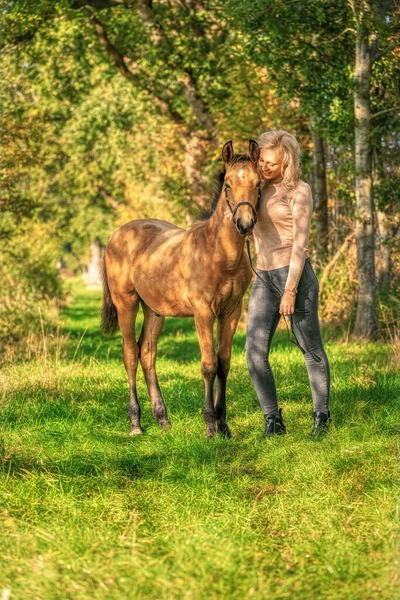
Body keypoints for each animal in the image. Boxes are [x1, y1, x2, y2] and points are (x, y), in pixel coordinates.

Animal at [101, 141, 260, 440]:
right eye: (228, 184)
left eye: (258, 183)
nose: (244, 224)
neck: (220, 254)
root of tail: (116, 235)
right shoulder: (203, 312)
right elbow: (208, 365)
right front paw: (210, 426)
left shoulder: (231, 311)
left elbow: (224, 364)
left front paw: (224, 426)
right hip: (126, 302)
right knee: (130, 354)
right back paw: (136, 423)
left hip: (154, 311)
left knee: (147, 354)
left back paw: (162, 419)